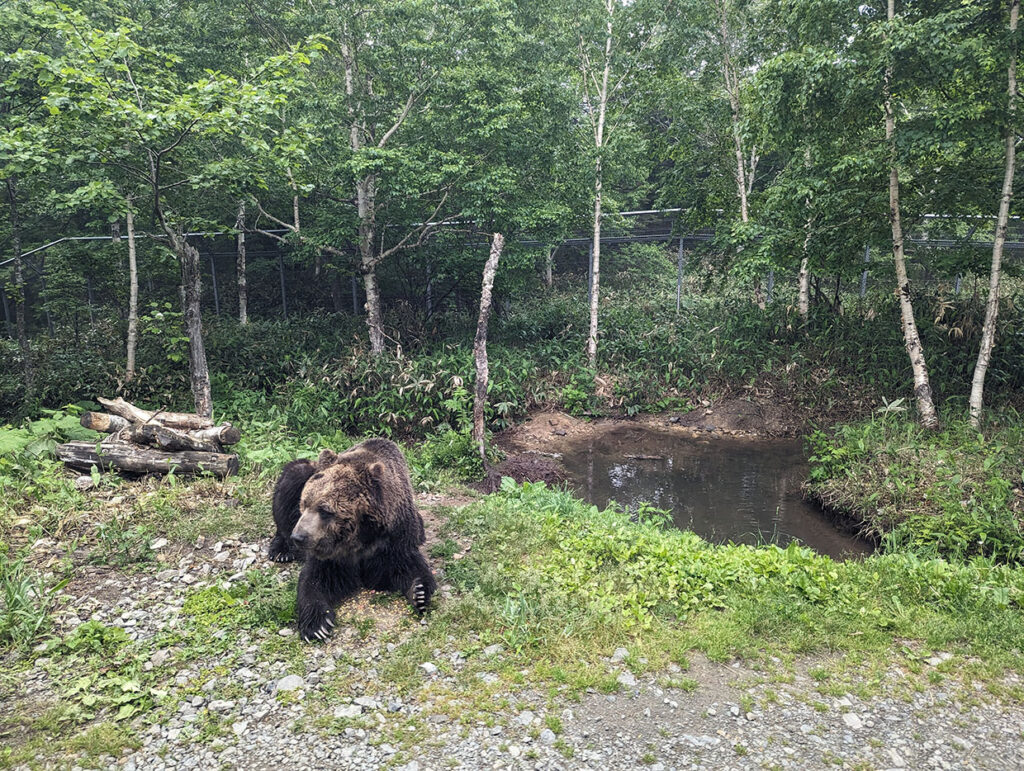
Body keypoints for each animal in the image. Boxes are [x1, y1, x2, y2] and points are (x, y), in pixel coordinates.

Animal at [266, 436, 434, 638]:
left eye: (325, 510)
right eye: (304, 503)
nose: (299, 536)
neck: (359, 537)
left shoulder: (394, 538)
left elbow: (407, 566)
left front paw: (419, 592)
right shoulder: (331, 553)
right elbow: (315, 579)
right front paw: (317, 625)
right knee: (291, 478)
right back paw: (281, 551)